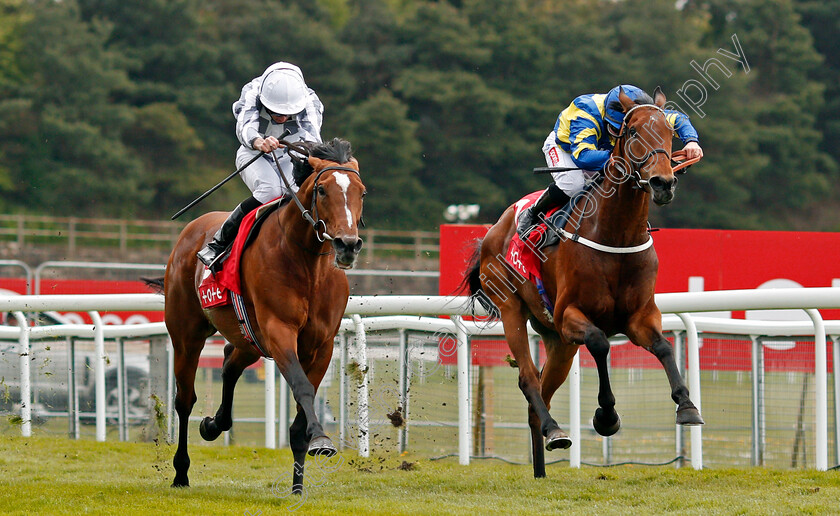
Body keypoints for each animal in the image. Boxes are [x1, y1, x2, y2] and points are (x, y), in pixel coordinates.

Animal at [157, 139, 364, 490]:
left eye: (361, 192)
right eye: (322, 190)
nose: (347, 244)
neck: (308, 265)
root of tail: (191, 230)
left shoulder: (322, 344)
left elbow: (301, 414)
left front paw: (299, 485)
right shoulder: (279, 331)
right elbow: (302, 387)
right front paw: (321, 438)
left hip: (248, 339)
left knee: (229, 363)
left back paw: (214, 424)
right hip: (187, 334)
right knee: (184, 400)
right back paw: (181, 472)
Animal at [462, 86, 704, 478]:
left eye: (670, 134)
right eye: (632, 133)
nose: (663, 183)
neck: (616, 236)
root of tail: (495, 229)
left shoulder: (640, 316)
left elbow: (665, 348)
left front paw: (687, 407)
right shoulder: (569, 315)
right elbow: (600, 343)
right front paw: (606, 416)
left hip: (557, 341)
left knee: (541, 391)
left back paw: (543, 459)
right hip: (513, 310)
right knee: (528, 379)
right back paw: (555, 431)